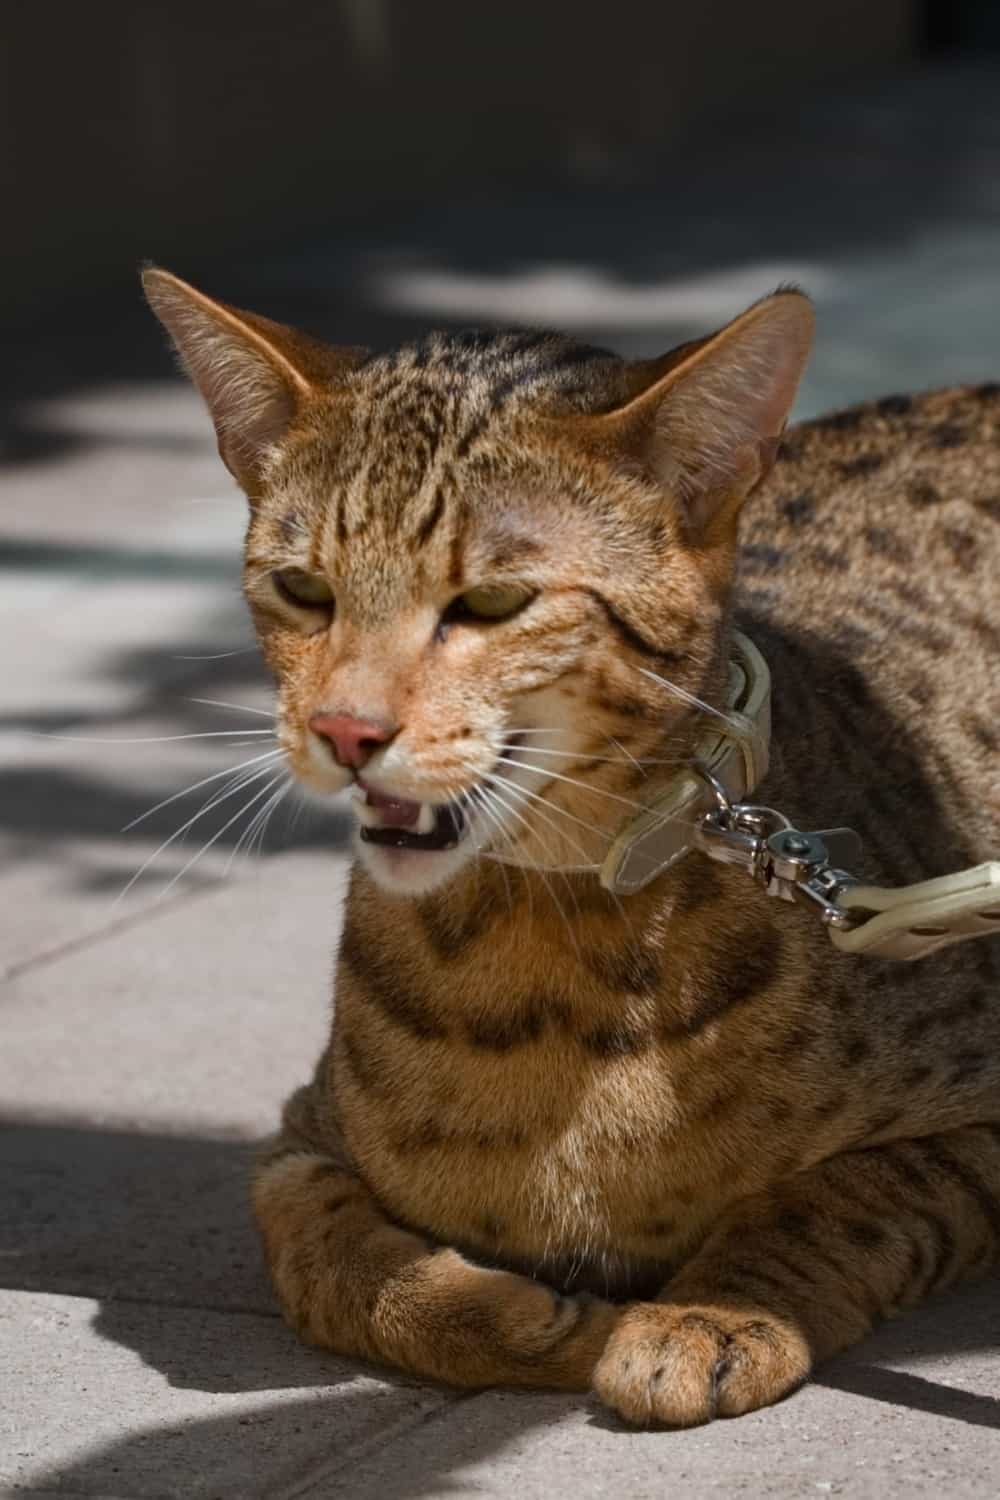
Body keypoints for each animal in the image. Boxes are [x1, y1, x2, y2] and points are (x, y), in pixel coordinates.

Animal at [142, 270, 1000, 1428]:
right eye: (304, 589)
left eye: (492, 601)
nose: (345, 730)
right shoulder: (295, 1139)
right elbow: (327, 1254)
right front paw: (510, 1316)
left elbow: (836, 1196)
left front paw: (712, 1314)